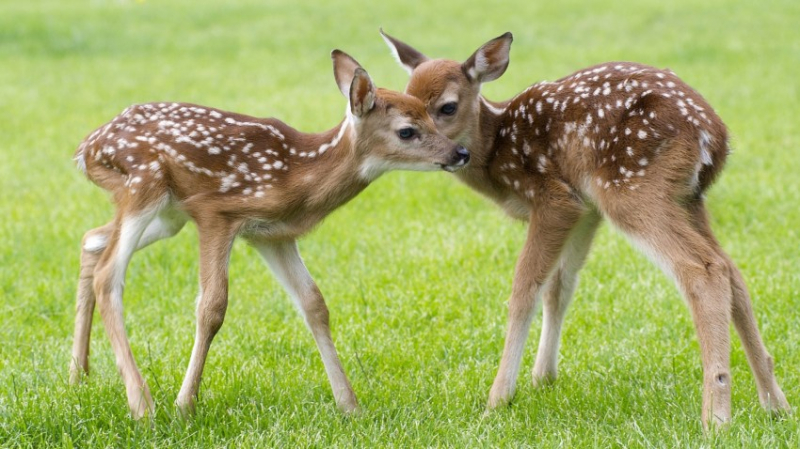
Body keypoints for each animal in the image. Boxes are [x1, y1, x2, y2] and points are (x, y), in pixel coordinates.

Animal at [70, 50, 468, 418]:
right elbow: (212, 307)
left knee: (91, 239)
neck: (297, 174)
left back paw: (79, 374)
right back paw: (142, 406)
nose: (460, 152)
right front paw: (185, 406)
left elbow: (314, 304)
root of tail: (85, 149)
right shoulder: (216, 213)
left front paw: (350, 406)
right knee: (108, 273)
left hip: (168, 214)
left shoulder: (271, 234)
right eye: (407, 130)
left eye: (432, 115)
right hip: (144, 180)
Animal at [382, 29, 788, 426]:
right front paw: (543, 378)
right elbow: (560, 286)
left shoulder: (554, 199)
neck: (497, 149)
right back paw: (774, 403)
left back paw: (716, 418)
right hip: (687, 198)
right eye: (410, 104)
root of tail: (715, 136)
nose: (447, 154)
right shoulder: (585, 209)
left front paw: (499, 398)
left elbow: (525, 289)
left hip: (630, 188)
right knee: (731, 270)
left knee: (703, 268)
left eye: (447, 107)